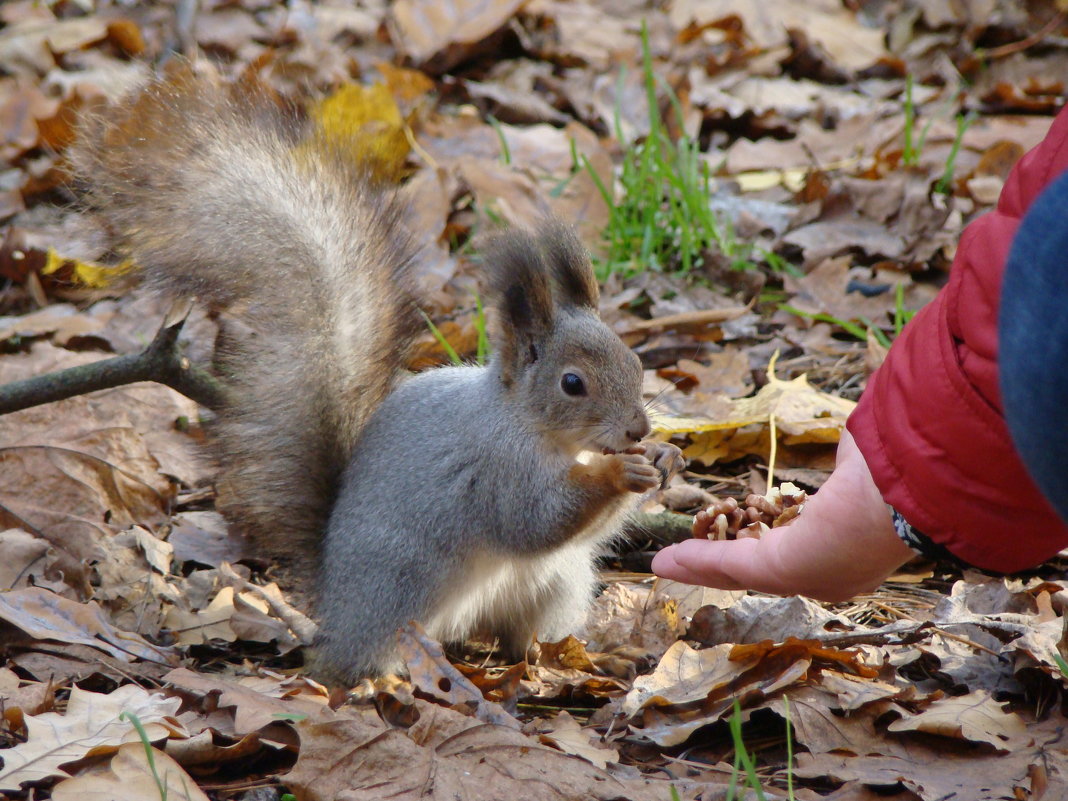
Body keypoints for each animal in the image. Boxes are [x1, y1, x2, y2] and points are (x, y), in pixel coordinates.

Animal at [68, 73, 683, 683]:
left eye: (636, 363)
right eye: (572, 384)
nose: (637, 429)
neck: (540, 431)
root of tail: (335, 603)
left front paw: (664, 458)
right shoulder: (496, 469)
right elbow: (533, 521)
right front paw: (619, 473)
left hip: (555, 585)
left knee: (522, 642)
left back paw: (576, 660)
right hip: (405, 584)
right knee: (367, 655)